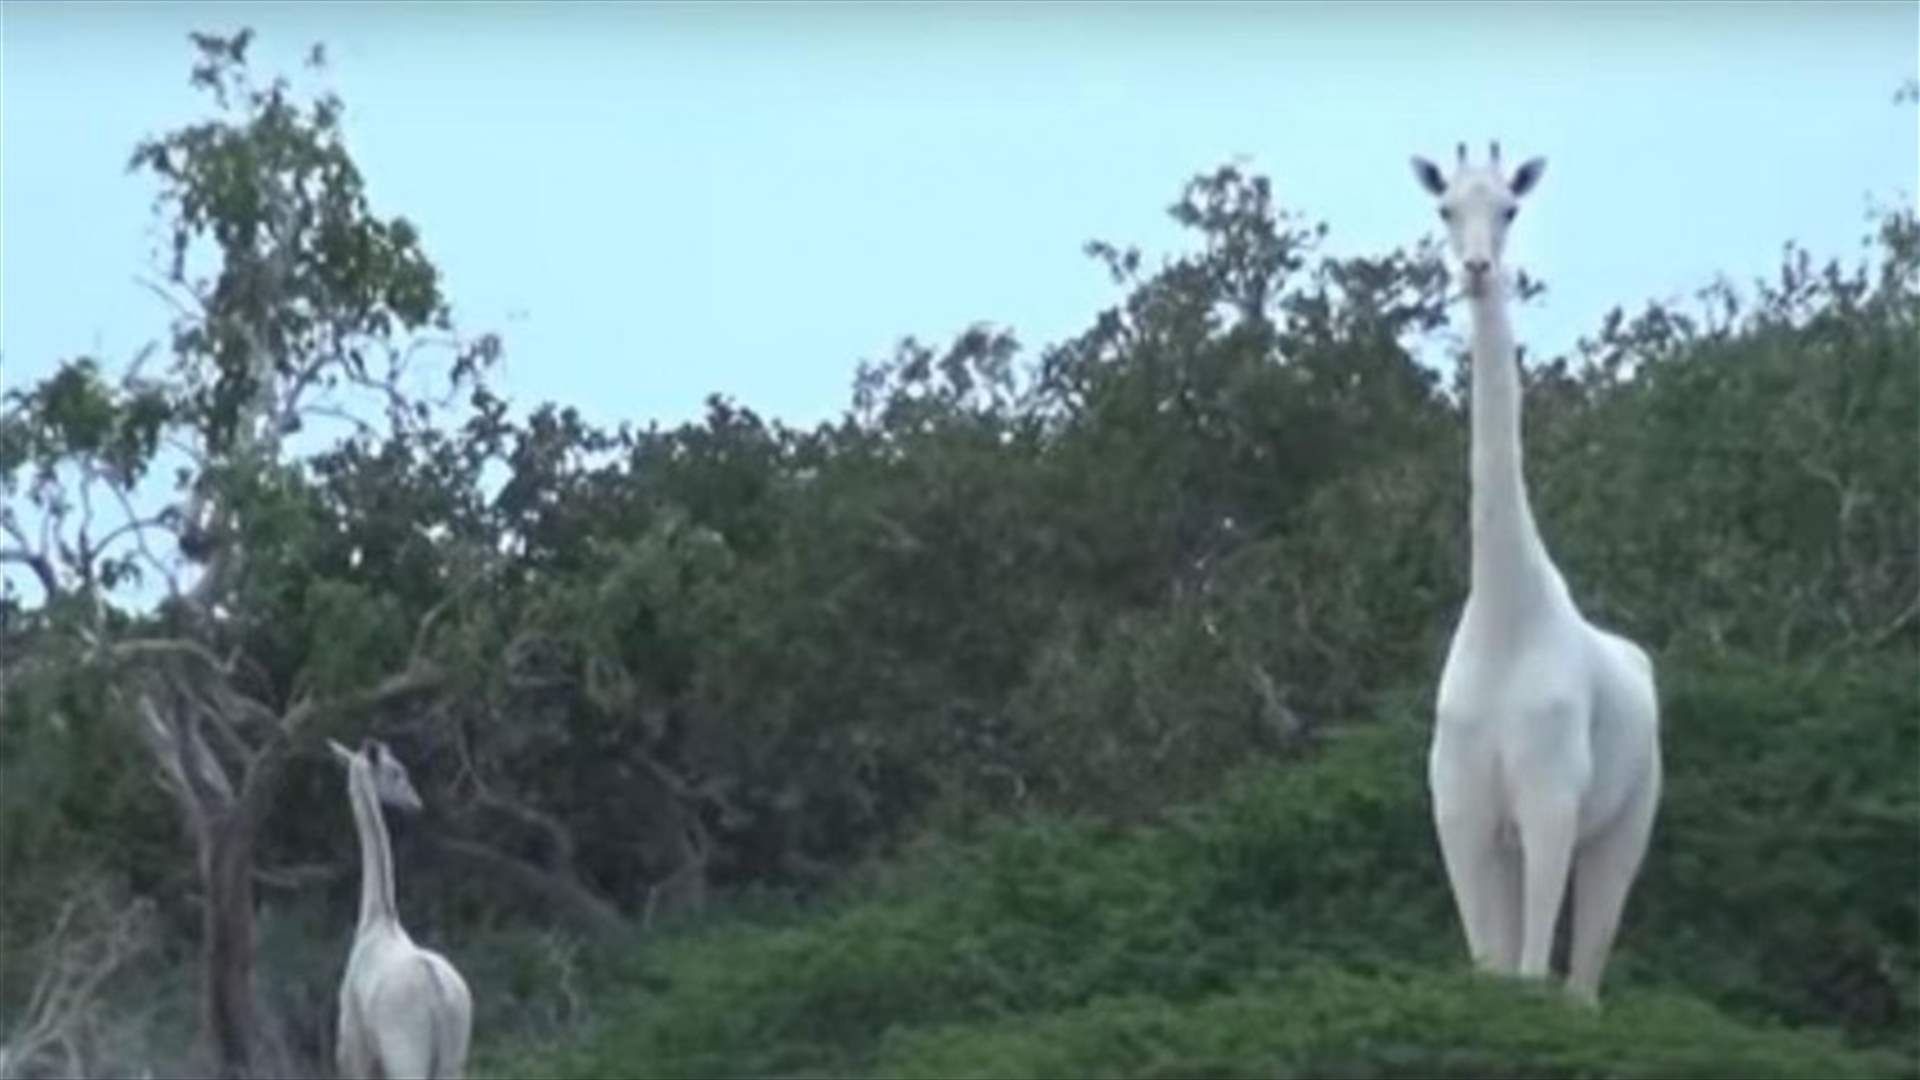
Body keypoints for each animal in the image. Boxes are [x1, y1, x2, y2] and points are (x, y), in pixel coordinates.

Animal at [329, 738, 473, 1078]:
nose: (415, 804)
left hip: (405, 1052)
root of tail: (439, 995)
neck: (376, 919)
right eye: (396, 772)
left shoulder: (353, 1049)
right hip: (453, 1057)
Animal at [1411, 142, 1662, 1005]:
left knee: (1583, 983)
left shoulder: (1553, 803)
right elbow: (1492, 970)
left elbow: (1531, 976)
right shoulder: (1460, 812)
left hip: (1626, 824)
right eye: (1446, 207)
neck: (1503, 617)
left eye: (1511, 208)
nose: (1478, 268)